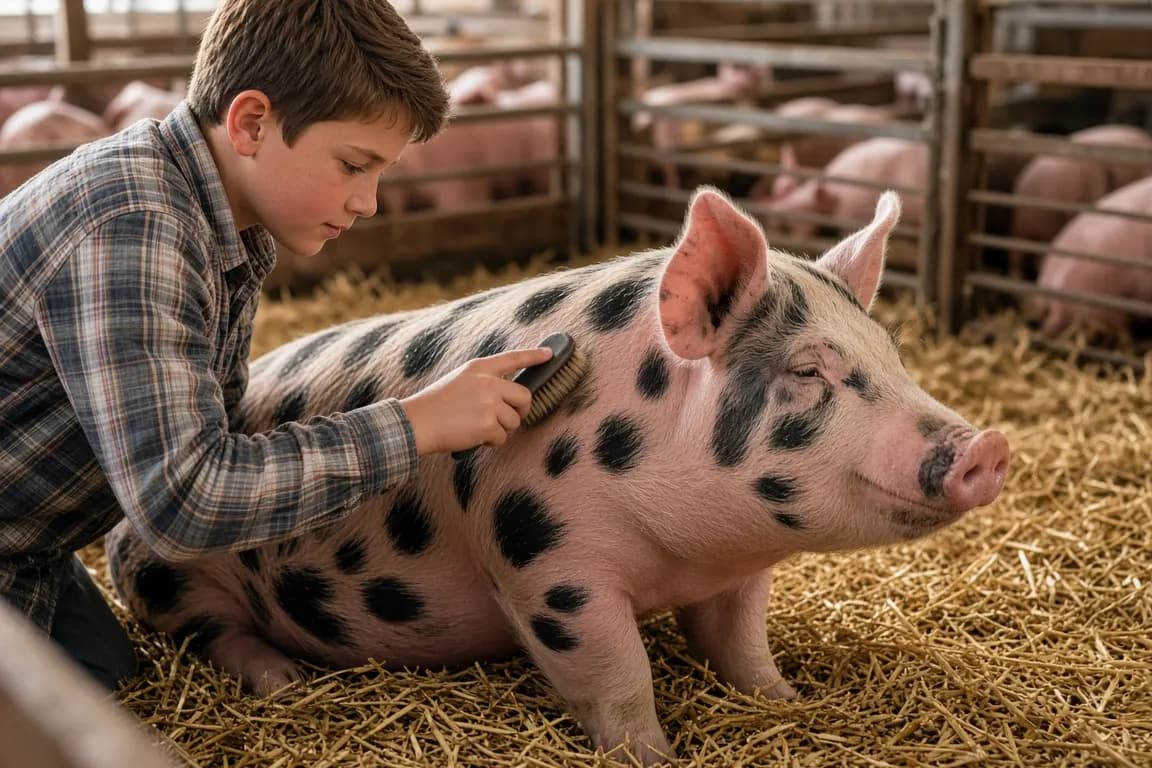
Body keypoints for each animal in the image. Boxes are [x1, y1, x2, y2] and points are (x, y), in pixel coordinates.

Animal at [106, 188, 1009, 765]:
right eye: (809, 369)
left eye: (892, 355)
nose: (986, 446)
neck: (686, 553)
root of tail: (116, 534)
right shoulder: (543, 559)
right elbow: (617, 676)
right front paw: (656, 756)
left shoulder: (737, 572)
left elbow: (741, 644)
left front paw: (784, 703)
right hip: (168, 576)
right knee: (212, 632)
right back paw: (285, 681)